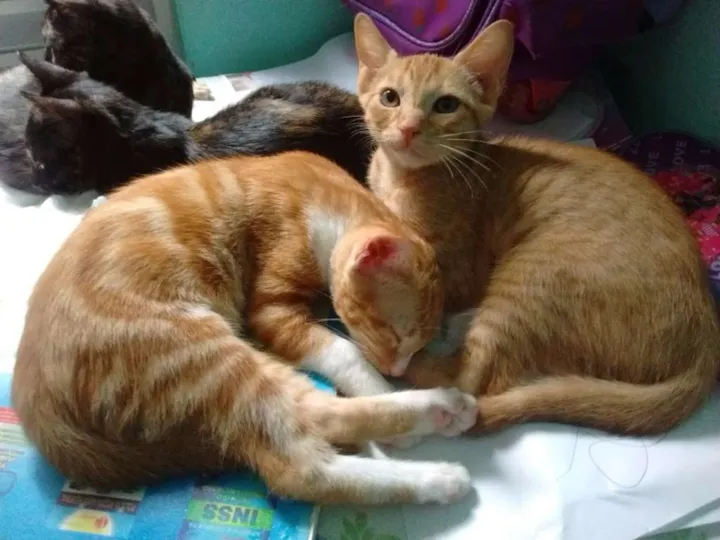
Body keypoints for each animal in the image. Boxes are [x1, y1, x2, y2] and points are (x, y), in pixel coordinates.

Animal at [12, 151, 478, 505]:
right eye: (394, 335)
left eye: (418, 347)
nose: (398, 371)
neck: (326, 190)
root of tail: (37, 406)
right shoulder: (271, 304)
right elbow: (343, 350)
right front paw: (377, 384)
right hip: (203, 351)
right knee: (303, 456)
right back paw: (437, 439)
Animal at [353, 13, 720, 436]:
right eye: (390, 97)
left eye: (446, 105)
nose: (409, 127)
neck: (400, 178)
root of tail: (708, 333)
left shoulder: (454, 274)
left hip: (530, 279)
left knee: (473, 381)